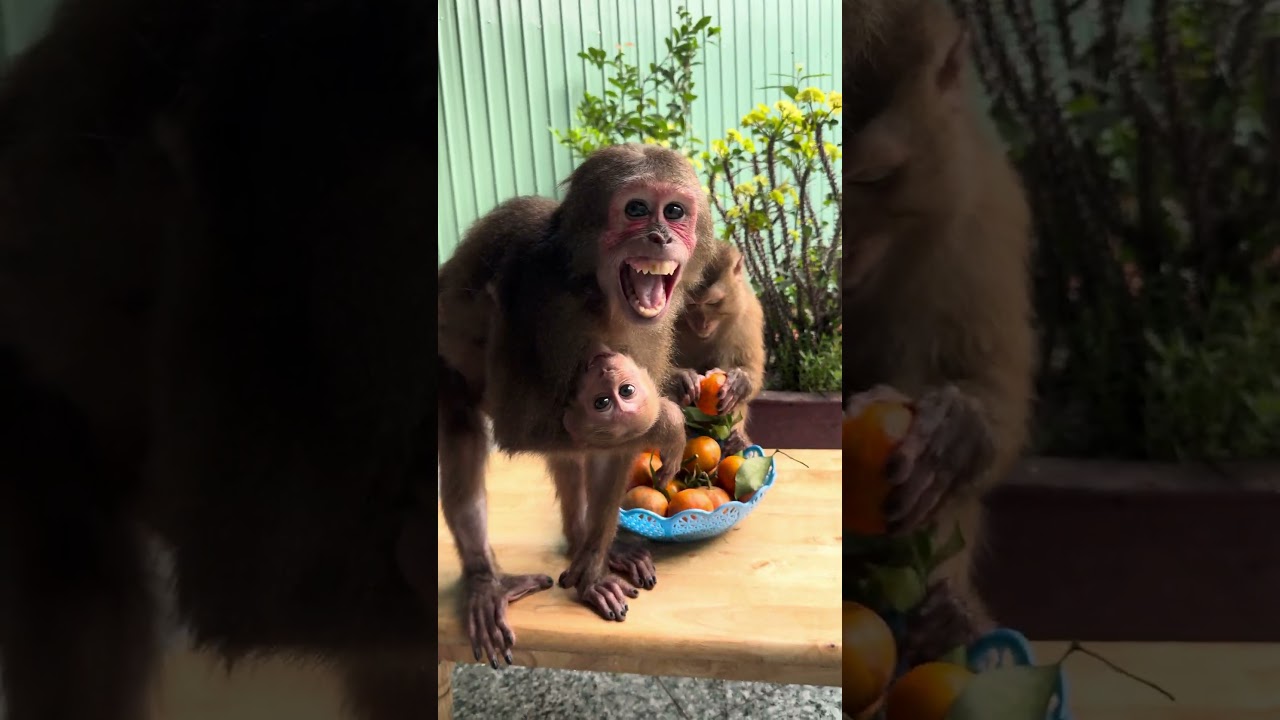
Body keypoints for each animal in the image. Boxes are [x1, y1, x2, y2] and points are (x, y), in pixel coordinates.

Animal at [438, 143, 716, 668]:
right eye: (636, 209)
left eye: (674, 211)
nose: (661, 236)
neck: (597, 294)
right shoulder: (541, 306)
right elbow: (520, 428)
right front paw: (667, 424)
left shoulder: (651, 336)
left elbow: (612, 448)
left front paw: (593, 565)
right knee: (466, 431)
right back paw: (485, 580)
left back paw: (583, 538)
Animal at [669, 242, 766, 455]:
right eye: (690, 304)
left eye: (713, 302)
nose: (702, 323)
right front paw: (681, 379)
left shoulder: (748, 314)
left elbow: (751, 368)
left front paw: (740, 381)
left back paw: (735, 443)